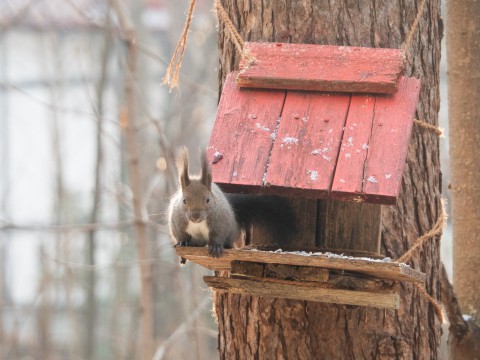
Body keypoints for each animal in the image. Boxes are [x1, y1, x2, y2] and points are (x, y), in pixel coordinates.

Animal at [167, 148, 298, 258]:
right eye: (184, 201)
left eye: (207, 200)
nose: (196, 216)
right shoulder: (178, 222)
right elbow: (180, 234)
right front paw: (183, 242)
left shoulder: (220, 223)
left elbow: (217, 236)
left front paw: (215, 247)